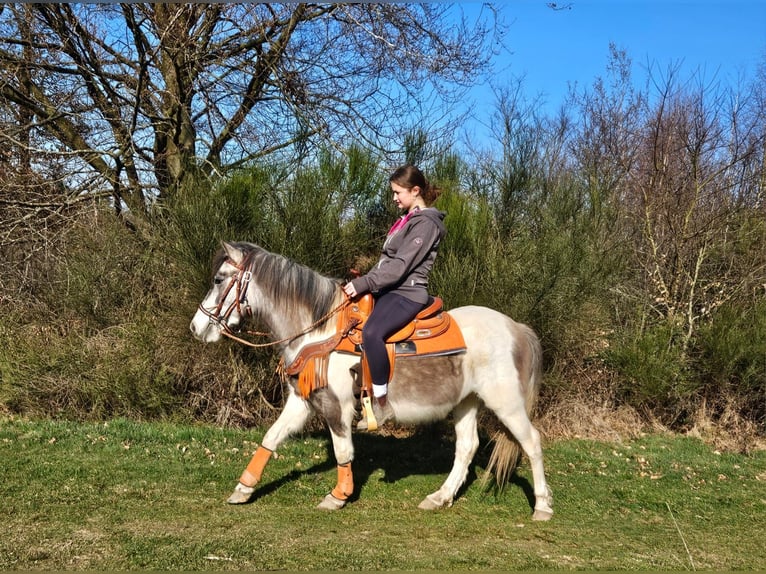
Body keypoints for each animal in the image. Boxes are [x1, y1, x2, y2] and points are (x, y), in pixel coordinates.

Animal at [189, 241, 553, 520]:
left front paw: (338, 495)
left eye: (219, 279)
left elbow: (343, 450)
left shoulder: (336, 405)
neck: (320, 331)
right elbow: (271, 438)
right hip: (467, 402)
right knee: (467, 447)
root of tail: (516, 327)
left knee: (532, 442)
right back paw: (440, 497)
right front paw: (243, 487)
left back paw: (542, 507)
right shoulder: (304, 401)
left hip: (506, 402)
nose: (196, 327)